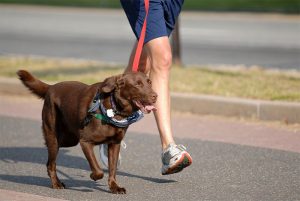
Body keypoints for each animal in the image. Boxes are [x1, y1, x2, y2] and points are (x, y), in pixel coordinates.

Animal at [17, 70, 157, 194]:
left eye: (149, 82)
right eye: (137, 84)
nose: (155, 96)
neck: (114, 109)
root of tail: (51, 87)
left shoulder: (114, 144)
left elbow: (112, 169)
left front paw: (114, 187)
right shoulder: (85, 142)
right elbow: (98, 170)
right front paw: (93, 176)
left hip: (69, 139)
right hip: (54, 137)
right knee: (50, 164)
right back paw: (56, 183)